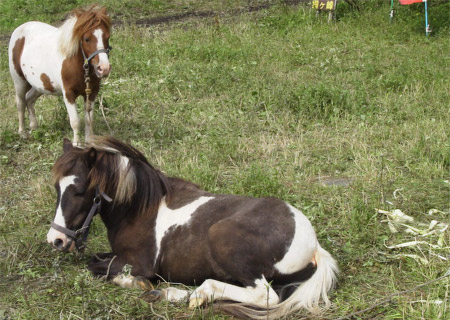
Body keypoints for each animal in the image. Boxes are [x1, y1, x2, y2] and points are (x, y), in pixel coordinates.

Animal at [8, 5, 111, 144]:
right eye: (87, 39)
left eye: (107, 37)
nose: (104, 69)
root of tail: (20, 29)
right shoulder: (68, 94)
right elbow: (75, 121)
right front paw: (76, 144)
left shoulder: (92, 92)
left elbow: (89, 118)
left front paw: (89, 141)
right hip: (19, 81)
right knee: (20, 102)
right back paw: (22, 133)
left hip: (41, 85)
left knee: (29, 99)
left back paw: (34, 128)